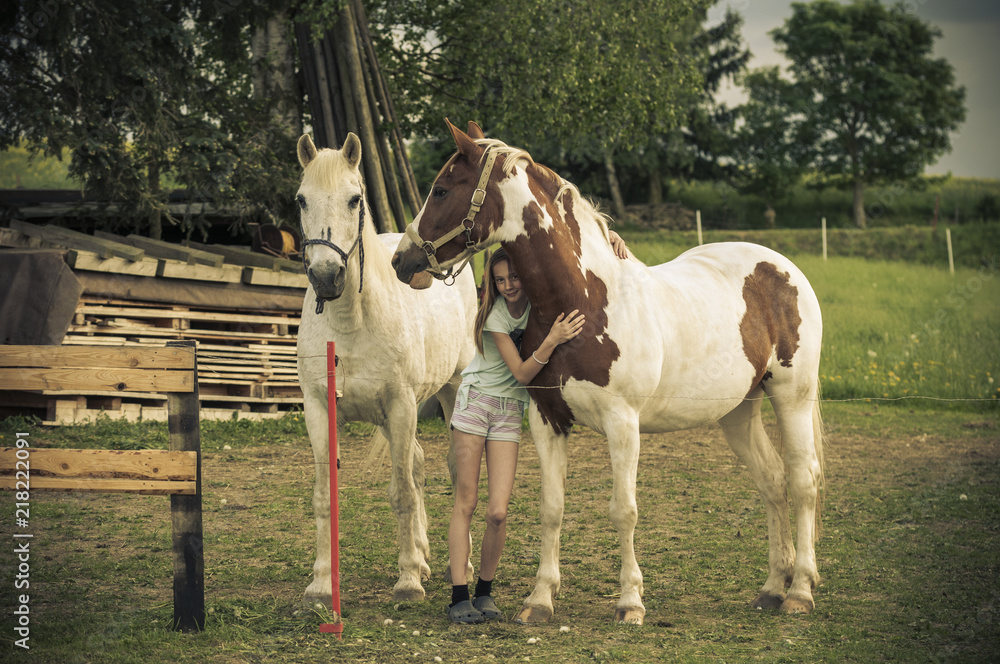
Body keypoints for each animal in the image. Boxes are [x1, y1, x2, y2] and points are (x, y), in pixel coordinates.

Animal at [294, 132, 478, 604]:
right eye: (301, 200)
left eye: (354, 199)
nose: (327, 277)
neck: (350, 324)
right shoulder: (320, 409)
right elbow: (324, 495)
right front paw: (320, 584)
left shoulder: (400, 406)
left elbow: (402, 494)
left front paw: (408, 580)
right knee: (418, 464)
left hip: (450, 392)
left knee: (452, 472)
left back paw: (459, 564)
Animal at [392, 122, 828, 624]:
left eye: (442, 189)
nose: (401, 260)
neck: (583, 300)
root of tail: (783, 268)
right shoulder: (547, 421)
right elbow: (552, 508)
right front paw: (540, 599)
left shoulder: (623, 423)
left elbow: (624, 511)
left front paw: (630, 602)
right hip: (739, 411)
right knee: (772, 481)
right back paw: (772, 588)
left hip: (793, 397)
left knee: (802, 481)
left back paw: (800, 592)